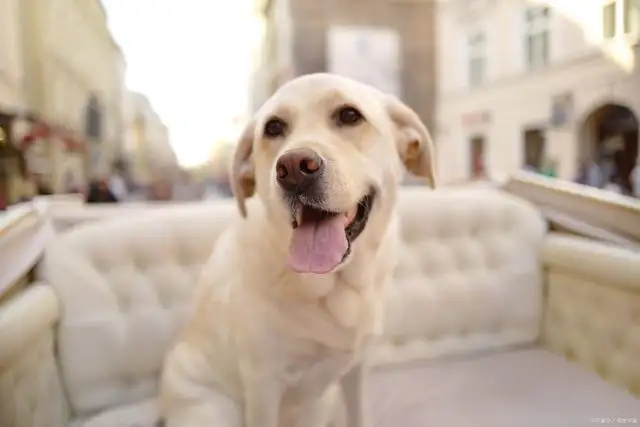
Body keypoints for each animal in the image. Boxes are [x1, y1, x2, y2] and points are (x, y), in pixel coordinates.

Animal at [159, 73, 436, 427]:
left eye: (350, 115)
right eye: (274, 127)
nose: (293, 168)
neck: (334, 287)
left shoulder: (357, 368)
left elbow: (359, 414)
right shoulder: (262, 385)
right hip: (209, 409)